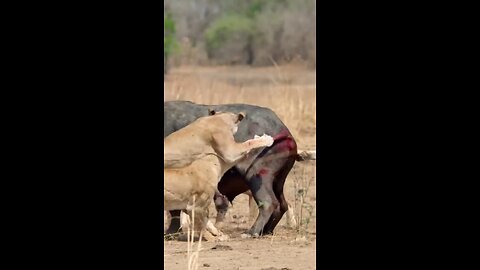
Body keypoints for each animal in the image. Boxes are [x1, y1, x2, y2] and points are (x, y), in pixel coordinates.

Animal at [165, 100, 306, 236]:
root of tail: (285, 131)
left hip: (257, 176)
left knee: (268, 203)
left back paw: (251, 232)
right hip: (277, 182)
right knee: (282, 205)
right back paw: (265, 231)